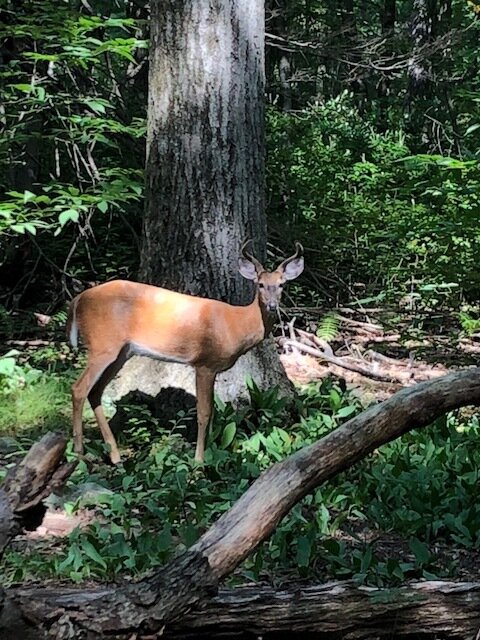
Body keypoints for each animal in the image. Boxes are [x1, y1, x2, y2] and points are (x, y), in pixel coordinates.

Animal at [66, 240, 304, 464]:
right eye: (261, 284)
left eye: (281, 284)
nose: (272, 306)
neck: (236, 325)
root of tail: (78, 299)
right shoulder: (205, 362)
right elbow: (203, 412)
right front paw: (198, 460)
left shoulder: (213, 368)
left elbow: (213, 412)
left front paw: (211, 452)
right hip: (102, 344)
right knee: (79, 388)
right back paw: (79, 454)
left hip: (122, 351)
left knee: (95, 391)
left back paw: (114, 455)